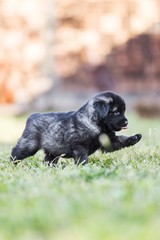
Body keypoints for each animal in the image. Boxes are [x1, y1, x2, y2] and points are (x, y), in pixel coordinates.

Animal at [10, 92, 141, 165]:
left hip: (52, 149)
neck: (96, 124)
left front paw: (135, 137)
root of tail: (32, 116)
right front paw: (84, 167)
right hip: (29, 145)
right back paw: (12, 164)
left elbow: (122, 140)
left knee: (49, 159)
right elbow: (82, 158)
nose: (126, 122)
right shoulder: (79, 147)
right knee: (16, 152)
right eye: (116, 112)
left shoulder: (109, 141)